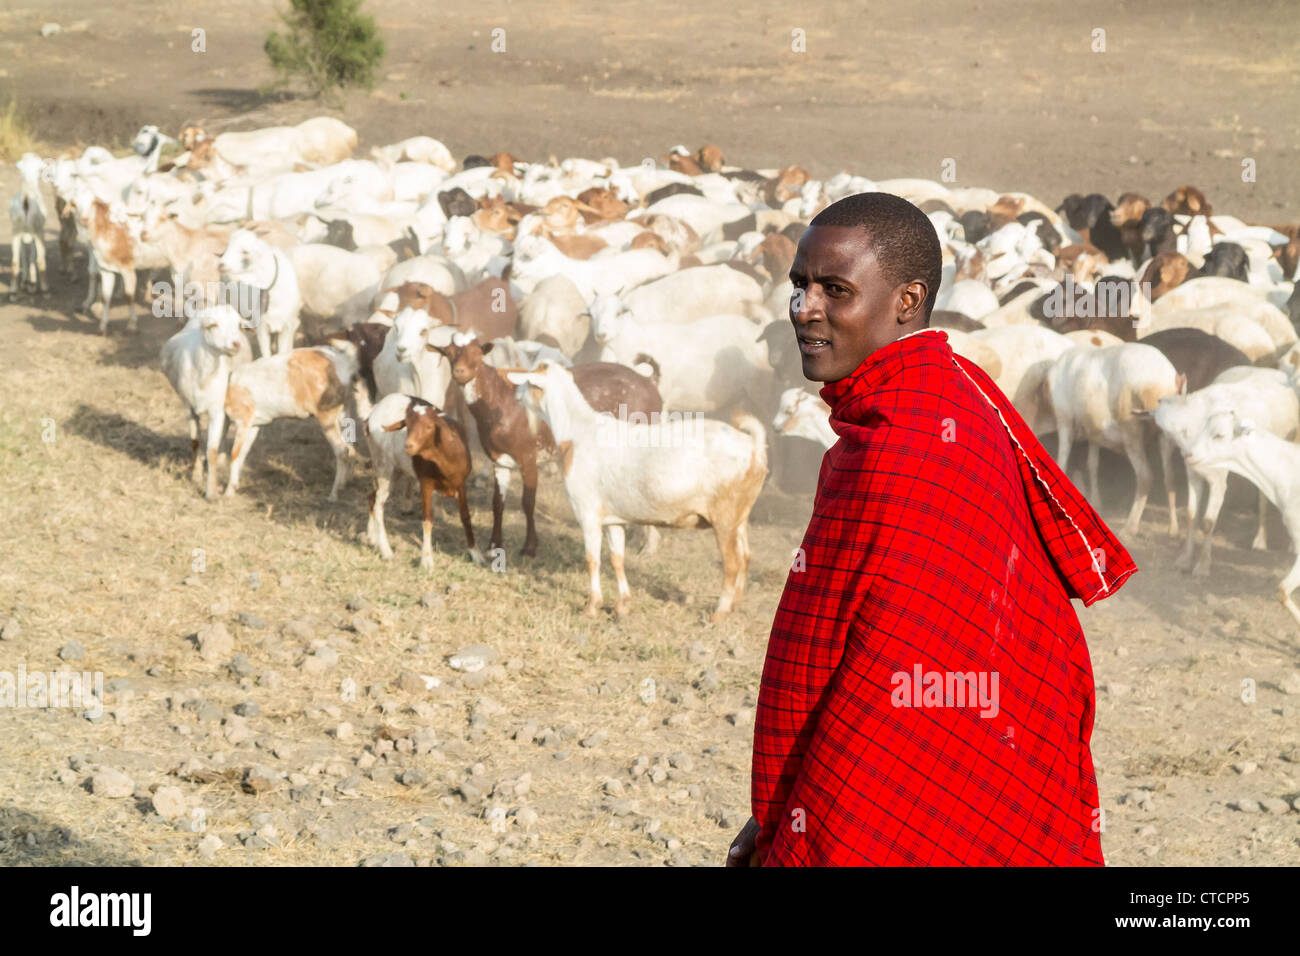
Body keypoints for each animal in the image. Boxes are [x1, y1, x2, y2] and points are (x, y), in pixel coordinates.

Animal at [159, 304, 252, 499]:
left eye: (239, 325)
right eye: (213, 325)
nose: (236, 344)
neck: (205, 376)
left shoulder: (217, 410)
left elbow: (212, 450)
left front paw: (211, 491)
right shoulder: (188, 408)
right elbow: (195, 443)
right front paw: (196, 476)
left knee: (225, 430)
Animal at [222, 343, 361, 501]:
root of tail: (343, 362)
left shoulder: (242, 422)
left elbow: (234, 453)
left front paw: (228, 493)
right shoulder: (254, 425)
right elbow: (243, 452)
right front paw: (234, 487)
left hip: (327, 417)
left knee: (342, 450)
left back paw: (333, 494)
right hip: (344, 413)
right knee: (351, 448)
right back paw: (344, 484)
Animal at [508, 362, 768, 620]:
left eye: (528, 382)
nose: (515, 394)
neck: (578, 431)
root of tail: (753, 446)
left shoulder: (588, 513)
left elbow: (592, 560)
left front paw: (592, 606)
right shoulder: (613, 519)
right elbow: (617, 559)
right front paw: (622, 605)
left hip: (724, 516)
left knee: (732, 562)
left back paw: (719, 613)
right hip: (740, 515)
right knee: (746, 555)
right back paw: (735, 605)